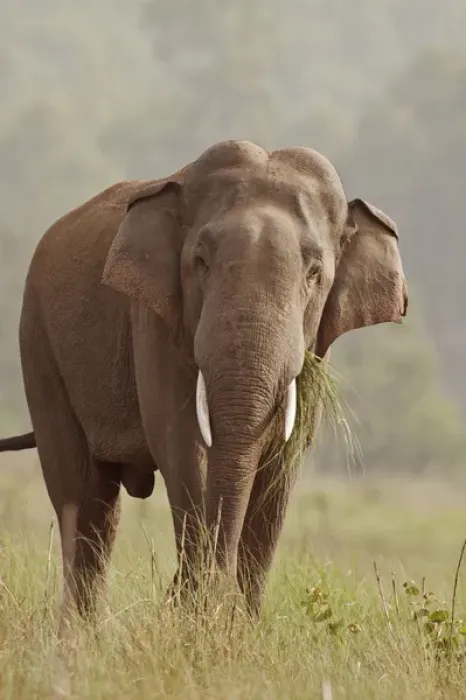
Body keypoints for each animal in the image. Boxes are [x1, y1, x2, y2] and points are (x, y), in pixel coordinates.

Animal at [0, 139, 407, 619]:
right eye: (199, 261)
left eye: (314, 274)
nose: (179, 593)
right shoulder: (154, 320)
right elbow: (181, 443)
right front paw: (197, 612)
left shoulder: (315, 351)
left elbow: (283, 462)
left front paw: (237, 622)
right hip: (37, 341)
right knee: (83, 497)